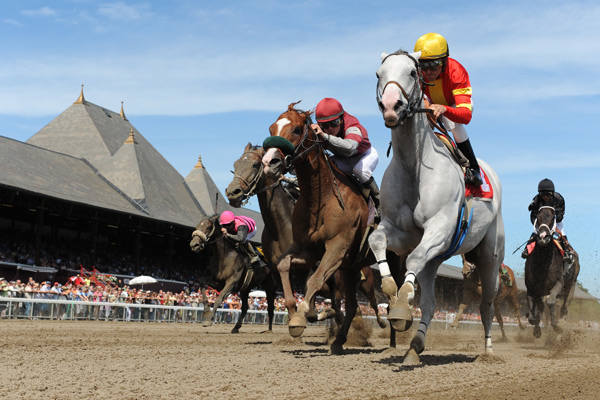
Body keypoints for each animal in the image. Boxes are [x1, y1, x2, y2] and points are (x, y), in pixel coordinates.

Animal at [225, 144, 390, 332]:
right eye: (236, 163)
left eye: (255, 164)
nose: (232, 192)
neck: (279, 228)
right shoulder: (276, 270)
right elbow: (290, 298)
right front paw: (297, 319)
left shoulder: (309, 267)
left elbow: (311, 302)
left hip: (365, 282)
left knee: (372, 302)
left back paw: (381, 322)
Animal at [262, 102, 404, 354]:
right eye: (271, 129)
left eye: (296, 129)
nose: (269, 163)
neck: (322, 196)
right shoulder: (308, 251)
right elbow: (284, 265)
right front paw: (296, 311)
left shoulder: (337, 248)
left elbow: (315, 279)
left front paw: (302, 316)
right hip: (351, 269)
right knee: (354, 304)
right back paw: (339, 342)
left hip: (394, 261)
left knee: (394, 295)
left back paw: (394, 339)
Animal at [368, 49, 504, 362]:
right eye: (379, 74)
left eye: (411, 72)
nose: (391, 106)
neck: (414, 166)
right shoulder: (400, 231)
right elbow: (377, 239)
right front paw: (391, 288)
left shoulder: (439, 228)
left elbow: (414, 258)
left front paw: (402, 302)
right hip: (437, 260)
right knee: (430, 303)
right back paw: (415, 346)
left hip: (490, 257)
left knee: (487, 305)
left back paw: (489, 350)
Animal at [524, 206, 580, 338]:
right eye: (538, 217)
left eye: (552, 218)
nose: (543, 237)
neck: (543, 264)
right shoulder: (534, 288)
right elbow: (538, 308)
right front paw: (537, 329)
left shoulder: (558, 283)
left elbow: (550, 302)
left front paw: (556, 326)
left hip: (570, 285)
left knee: (564, 307)